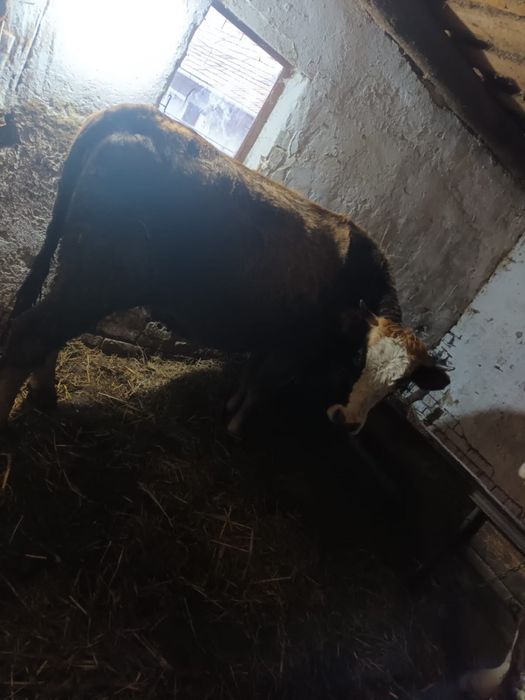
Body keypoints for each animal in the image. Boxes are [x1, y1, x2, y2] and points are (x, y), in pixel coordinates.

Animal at [0, 104, 449, 436]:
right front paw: (235, 427)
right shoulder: (290, 347)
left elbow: (249, 374)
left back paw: (45, 396)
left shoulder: (270, 334)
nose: (349, 422)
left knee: (47, 333)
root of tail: (146, 115)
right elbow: (261, 387)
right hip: (100, 275)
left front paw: (229, 407)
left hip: (75, 264)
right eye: (358, 357)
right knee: (28, 337)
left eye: (402, 383)